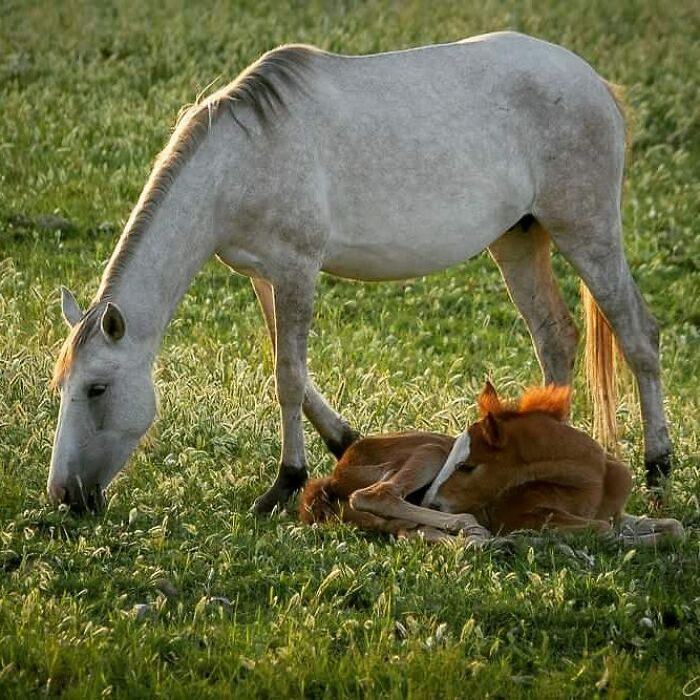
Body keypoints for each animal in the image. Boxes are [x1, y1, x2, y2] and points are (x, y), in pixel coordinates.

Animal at [47, 31, 672, 514]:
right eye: (62, 386)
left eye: (97, 388)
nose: (65, 496)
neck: (243, 159)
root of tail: (595, 83)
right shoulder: (264, 277)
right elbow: (292, 369)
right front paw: (343, 441)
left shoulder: (297, 269)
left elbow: (288, 375)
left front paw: (284, 484)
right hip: (518, 240)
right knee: (554, 337)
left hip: (586, 230)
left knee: (637, 334)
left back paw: (659, 466)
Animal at [299, 383, 684, 546]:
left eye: (468, 466)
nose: (430, 502)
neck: (595, 479)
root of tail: (333, 477)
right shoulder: (518, 515)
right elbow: (603, 530)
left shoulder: (616, 513)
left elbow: (673, 527)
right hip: (429, 451)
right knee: (376, 495)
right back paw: (474, 529)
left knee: (406, 529)